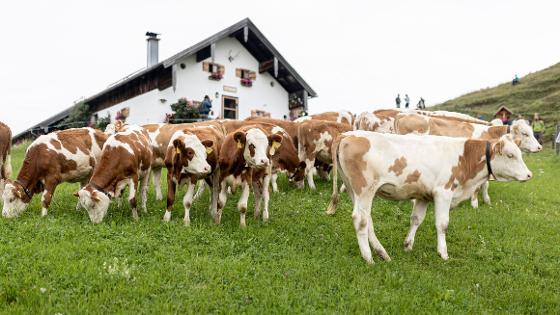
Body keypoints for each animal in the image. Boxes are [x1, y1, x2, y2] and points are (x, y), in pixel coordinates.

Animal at [326, 132, 532, 266]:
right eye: (510, 155)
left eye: (519, 153)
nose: (529, 175)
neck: (464, 157)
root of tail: (348, 134)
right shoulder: (443, 192)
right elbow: (442, 224)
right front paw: (443, 253)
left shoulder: (423, 195)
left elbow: (416, 219)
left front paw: (408, 245)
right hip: (365, 189)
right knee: (360, 220)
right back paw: (368, 258)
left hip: (353, 190)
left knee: (367, 220)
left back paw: (382, 253)